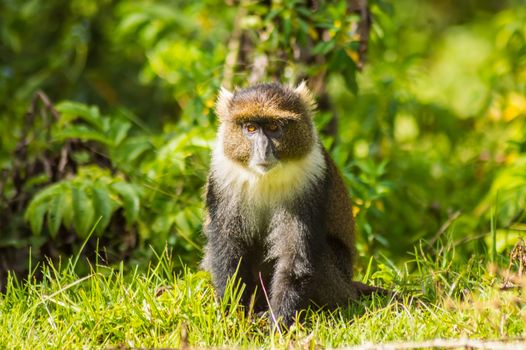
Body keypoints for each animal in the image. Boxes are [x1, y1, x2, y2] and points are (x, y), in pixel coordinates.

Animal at [202, 82, 380, 328]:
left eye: (273, 127)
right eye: (250, 128)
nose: (263, 149)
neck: (265, 177)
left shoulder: (310, 179)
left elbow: (294, 254)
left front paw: (279, 322)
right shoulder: (222, 177)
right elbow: (227, 246)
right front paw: (234, 314)